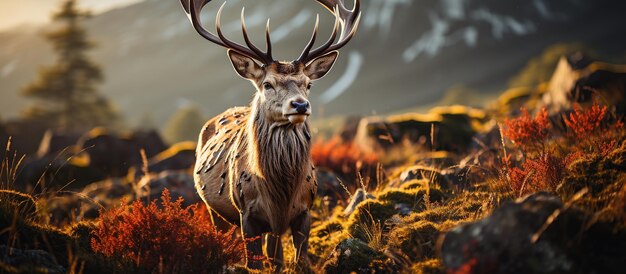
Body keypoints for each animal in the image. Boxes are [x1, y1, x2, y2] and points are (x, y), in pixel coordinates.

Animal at [178, 0, 358, 270]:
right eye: (267, 84)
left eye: (308, 84)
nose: (300, 105)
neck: (280, 195)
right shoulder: (247, 213)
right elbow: (255, 264)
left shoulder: (305, 211)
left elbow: (298, 261)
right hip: (213, 211)